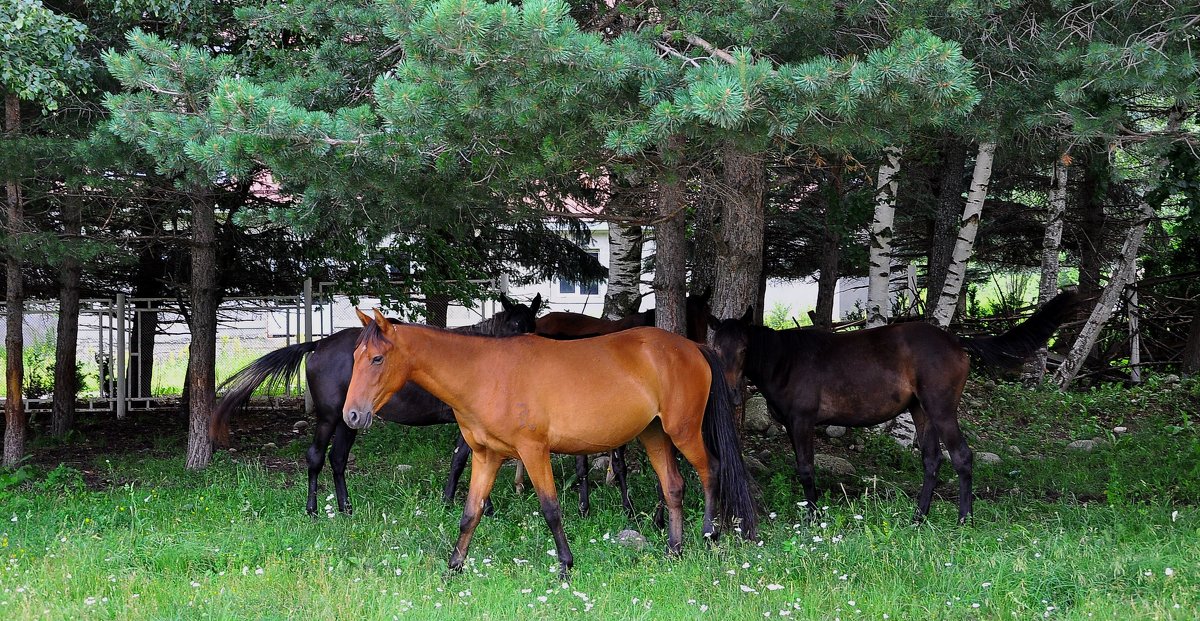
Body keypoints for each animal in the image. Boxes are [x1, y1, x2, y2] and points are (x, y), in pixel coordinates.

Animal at [210, 296, 540, 515]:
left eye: (532, 324)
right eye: (512, 325)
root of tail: (319, 343)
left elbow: (460, 459)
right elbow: (465, 460)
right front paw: (477, 506)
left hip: (349, 420)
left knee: (338, 459)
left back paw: (346, 508)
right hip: (330, 418)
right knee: (315, 456)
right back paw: (313, 509)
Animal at [343, 314, 753, 582]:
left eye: (377, 358)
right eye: (355, 357)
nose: (352, 415)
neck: (485, 374)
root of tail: (693, 346)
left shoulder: (534, 452)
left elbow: (552, 510)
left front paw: (566, 567)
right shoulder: (486, 457)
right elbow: (470, 513)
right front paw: (453, 569)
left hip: (683, 432)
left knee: (711, 472)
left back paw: (709, 537)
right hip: (654, 435)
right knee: (673, 487)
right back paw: (673, 550)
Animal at [705, 292, 1084, 525]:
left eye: (744, 348)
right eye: (716, 346)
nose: (731, 394)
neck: (787, 361)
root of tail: (956, 341)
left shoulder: (802, 421)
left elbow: (806, 469)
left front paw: (813, 518)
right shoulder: (790, 423)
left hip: (941, 409)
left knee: (962, 456)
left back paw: (964, 519)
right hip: (921, 411)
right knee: (932, 460)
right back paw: (919, 517)